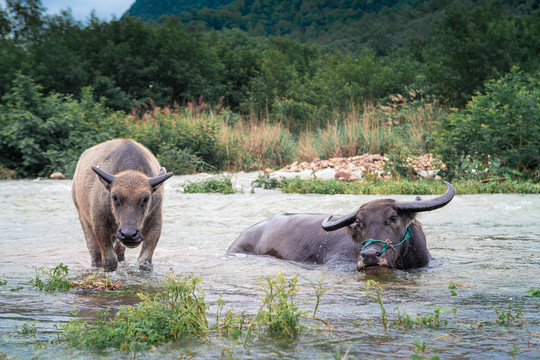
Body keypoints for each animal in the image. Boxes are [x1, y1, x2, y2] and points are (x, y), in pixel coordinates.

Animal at [71, 139, 173, 272]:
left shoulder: (155, 224)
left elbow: (144, 262)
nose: (129, 234)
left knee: (119, 252)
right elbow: (110, 261)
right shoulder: (100, 224)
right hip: (83, 217)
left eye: (146, 199)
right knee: (94, 252)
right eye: (114, 197)